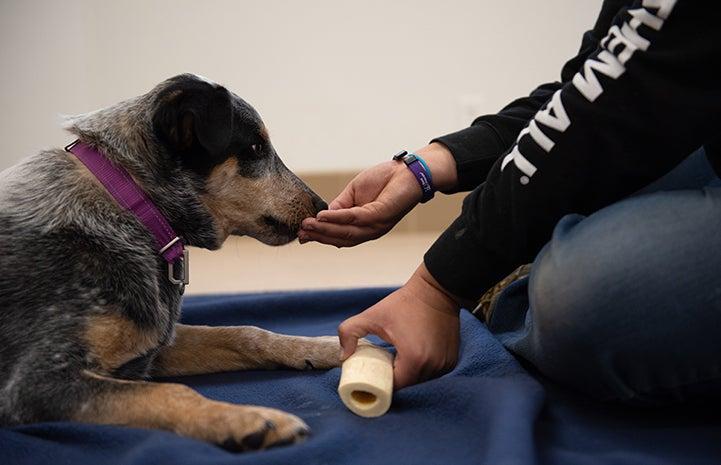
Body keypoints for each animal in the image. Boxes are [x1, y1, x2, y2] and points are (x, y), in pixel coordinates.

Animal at [0, 74, 346, 452]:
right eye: (255, 148)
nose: (322, 205)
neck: (132, 206)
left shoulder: (152, 346)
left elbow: (245, 333)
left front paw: (326, 346)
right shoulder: (36, 383)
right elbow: (169, 392)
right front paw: (247, 419)